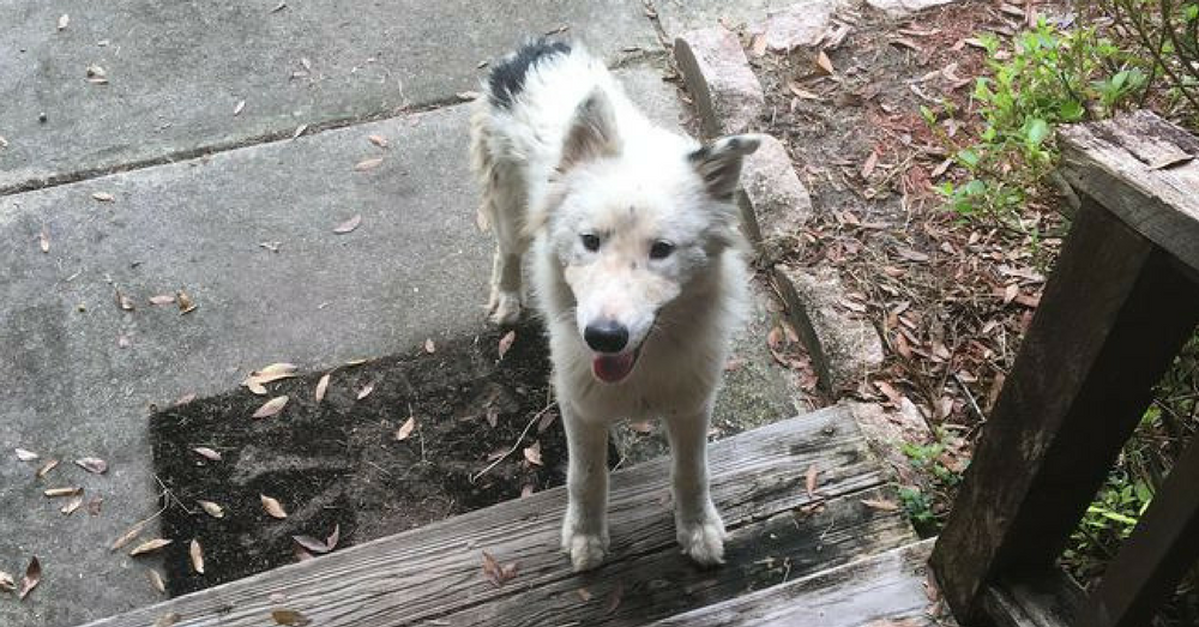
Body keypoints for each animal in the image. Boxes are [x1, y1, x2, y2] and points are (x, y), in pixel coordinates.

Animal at [470, 38, 757, 568]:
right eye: (590, 241)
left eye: (661, 250)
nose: (603, 338)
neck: (642, 366)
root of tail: (539, 48)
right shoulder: (579, 405)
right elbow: (586, 477)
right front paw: (586, 538)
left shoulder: (692, 402)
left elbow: (692, 471)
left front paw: (697, 529)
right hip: (509, 208)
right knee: (508, 249)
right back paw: (508, 298)